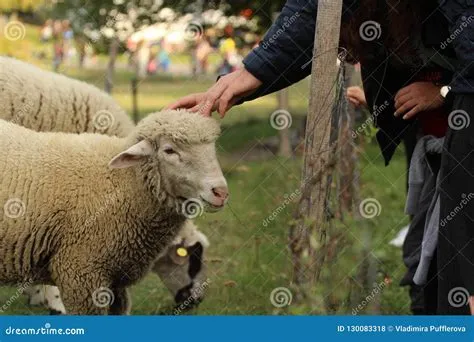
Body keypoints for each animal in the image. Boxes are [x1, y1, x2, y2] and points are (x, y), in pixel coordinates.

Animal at [0, 110, 230, 316]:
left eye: (212, 149)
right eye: (169, 150)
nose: (221, 192)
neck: (123, 182)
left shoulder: (116, 280)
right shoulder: (81, 274)